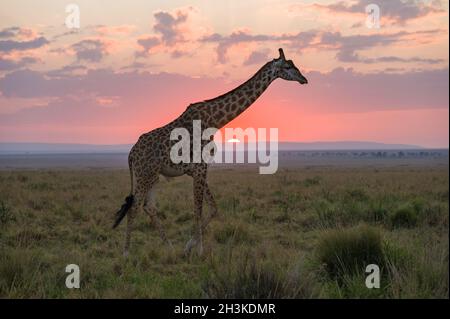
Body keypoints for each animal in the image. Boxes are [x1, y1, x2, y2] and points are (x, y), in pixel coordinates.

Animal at [114, 48, 308, 258]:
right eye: (287, 66)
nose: (304, 79)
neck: (215, 120)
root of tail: (131, 154)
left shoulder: (198, 169)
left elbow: (213, 208)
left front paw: (188, 246)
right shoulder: (199, 167)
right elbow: (198, 209)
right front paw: (200, 250)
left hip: (153, 176)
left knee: (148, 207)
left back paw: (170, 247)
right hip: (144, 174)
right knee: (134, 208)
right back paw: (126, 253)